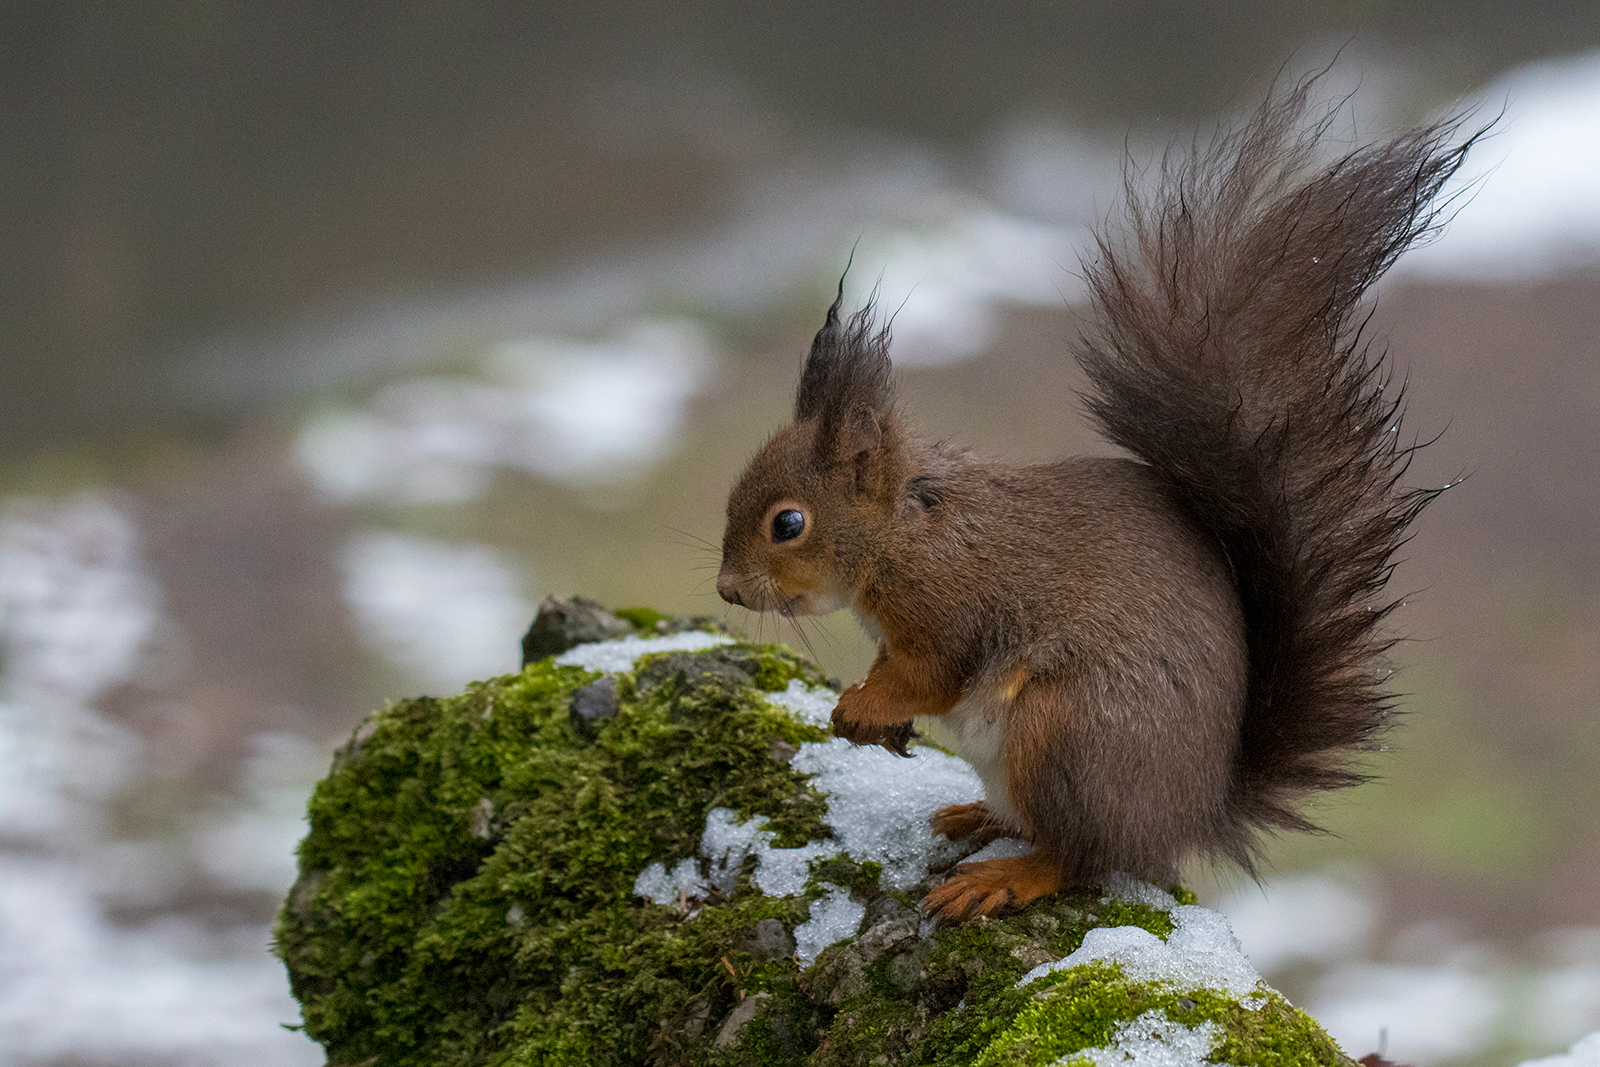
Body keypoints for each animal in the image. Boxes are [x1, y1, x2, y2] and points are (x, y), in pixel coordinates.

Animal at [715, 84, 1475, 922]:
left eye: (788, 523)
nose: (726, 589)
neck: (904, 534)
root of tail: (1189, 814)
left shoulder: (954, 606)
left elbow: (932, 675)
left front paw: (864, 706)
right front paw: (861, 703)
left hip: (1064, 731)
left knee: (1084, 857)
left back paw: (1008, 873)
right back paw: (979, 816)